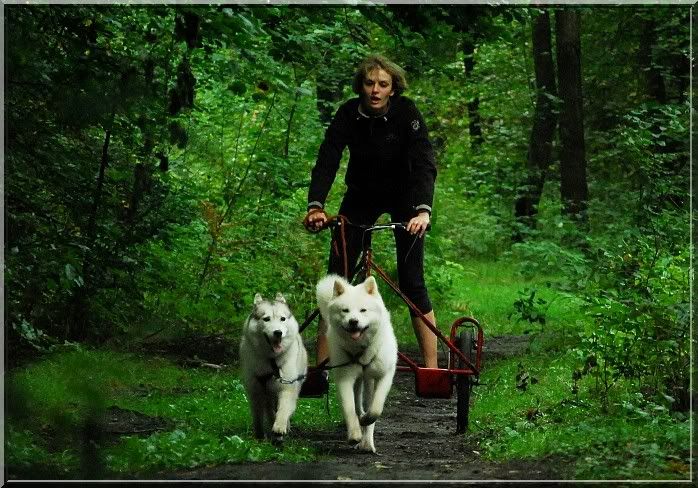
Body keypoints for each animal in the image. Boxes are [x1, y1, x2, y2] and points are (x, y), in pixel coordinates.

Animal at [239, 292, 308, 443]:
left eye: (282, 319)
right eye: (266, 319)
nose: (278, 332)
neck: (271, 360)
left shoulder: (287, 386)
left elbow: (283, 409)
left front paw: (279, 427)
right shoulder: (256, 390)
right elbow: (258, 415)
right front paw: (259, 435)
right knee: (269, 409)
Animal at [316, 274, 398, 453]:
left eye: (363, 310)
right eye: (345, 310)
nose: (353, 321)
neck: (361, 349)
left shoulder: (384, 375)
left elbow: (375, 408)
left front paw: (367, 421)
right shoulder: (345, 377)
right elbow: (349, 408)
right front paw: (354, 434)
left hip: (369, 379)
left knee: (367, 405)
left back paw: (367, 443)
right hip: (359, 379)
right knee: (358, 405)